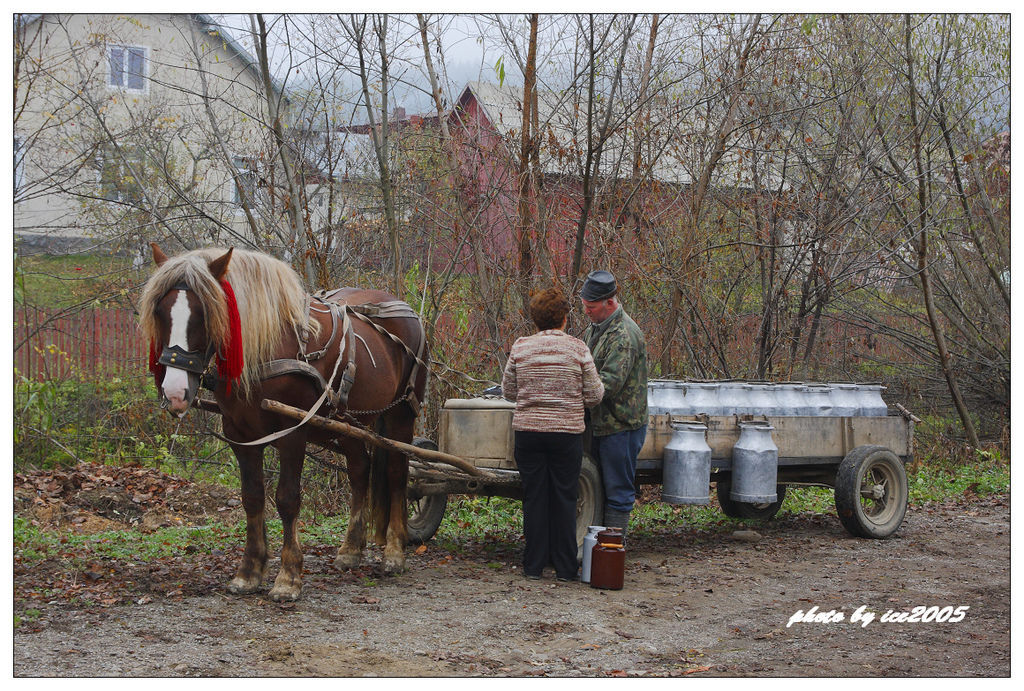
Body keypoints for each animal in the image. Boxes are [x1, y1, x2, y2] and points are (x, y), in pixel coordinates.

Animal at [138, 245, 425, 601]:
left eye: (205, 313)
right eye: (160, 312)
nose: (175, 393)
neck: (268, 346)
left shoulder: (293, 433)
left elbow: (287, 499)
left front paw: (288, 577)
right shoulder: (239, 434)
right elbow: (252, 497)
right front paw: (249, 572)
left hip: (402, 414)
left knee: (397, 474)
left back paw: (395, 552)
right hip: (346, 421)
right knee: (360, 471)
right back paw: (350, 549)